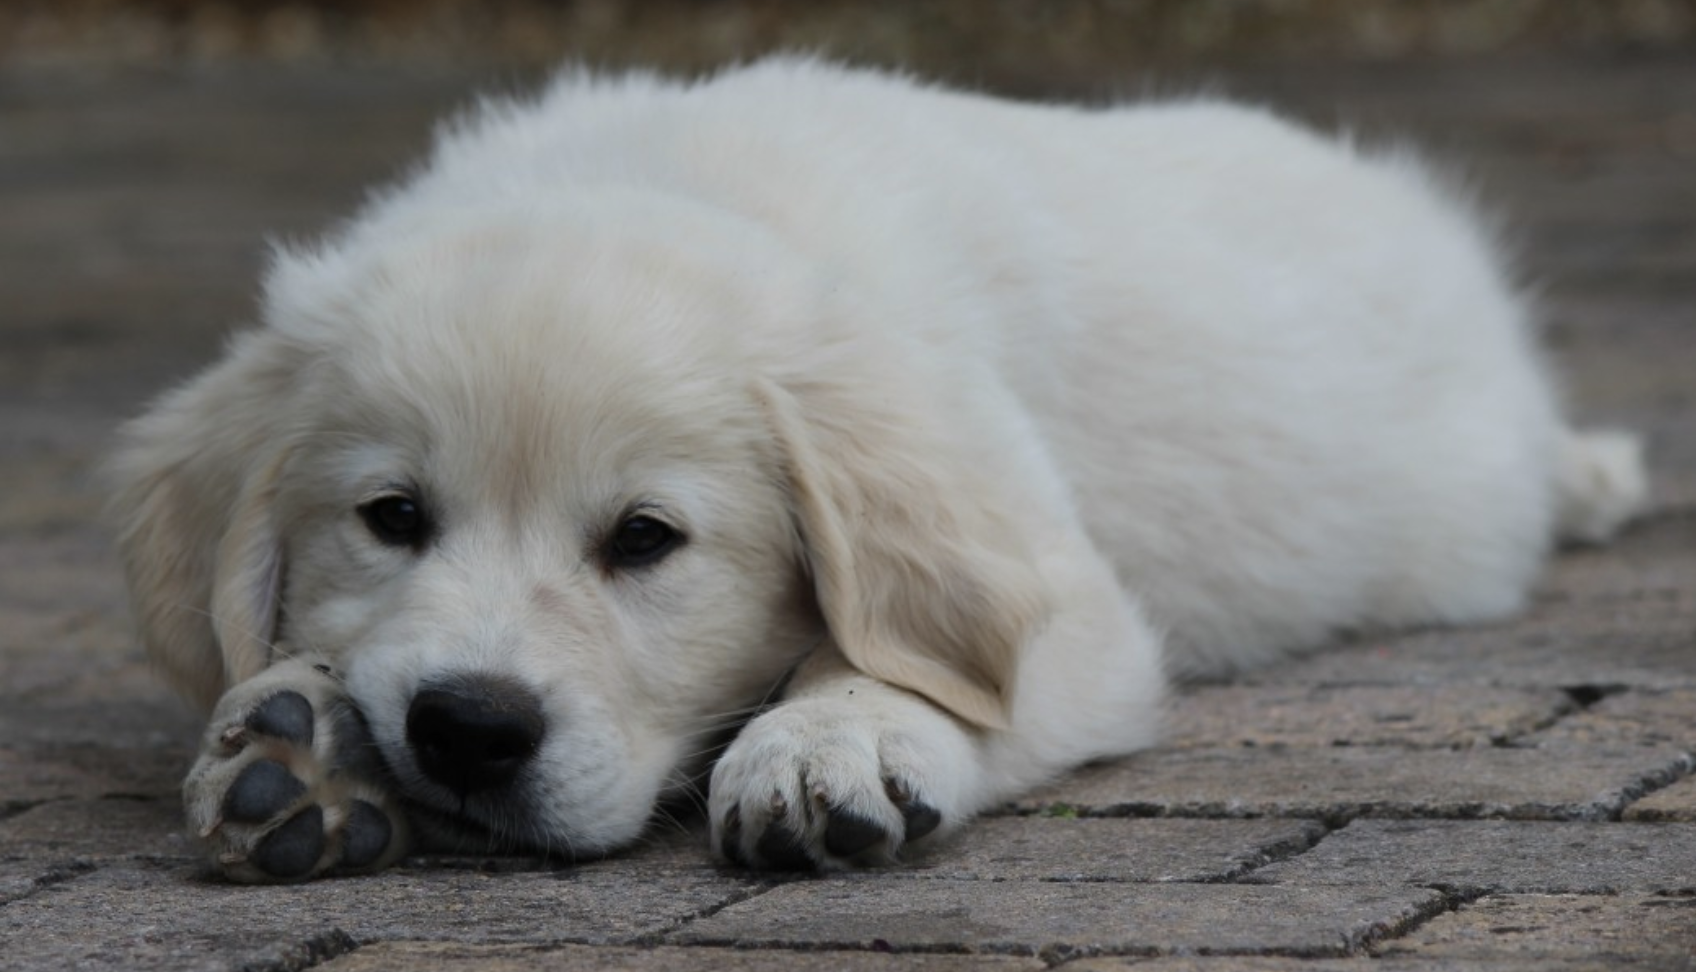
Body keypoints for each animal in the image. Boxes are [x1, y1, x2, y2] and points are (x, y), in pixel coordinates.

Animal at [106, 58, 1641, 882]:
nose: (468, 730)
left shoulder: (1075, 602)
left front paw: (830, 738)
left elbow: (908, 656)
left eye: (647, 541)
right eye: (391, 517)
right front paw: (305, 743)